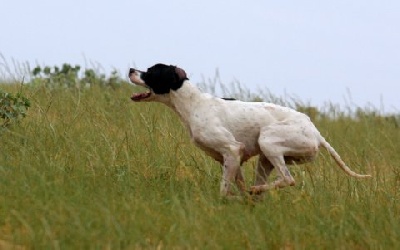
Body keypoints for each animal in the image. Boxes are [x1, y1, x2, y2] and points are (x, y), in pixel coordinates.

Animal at [129, 63, 372, 196]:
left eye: (150, 71)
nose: (131, 69)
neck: (193, 103)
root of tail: (315, 131)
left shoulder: (232, 150)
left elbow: (224, 189)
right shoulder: (231, 159)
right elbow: (236, 186)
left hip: (269, 141)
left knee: (288, 180)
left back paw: (257, 191)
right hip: (266, 159)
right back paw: (255, 194)